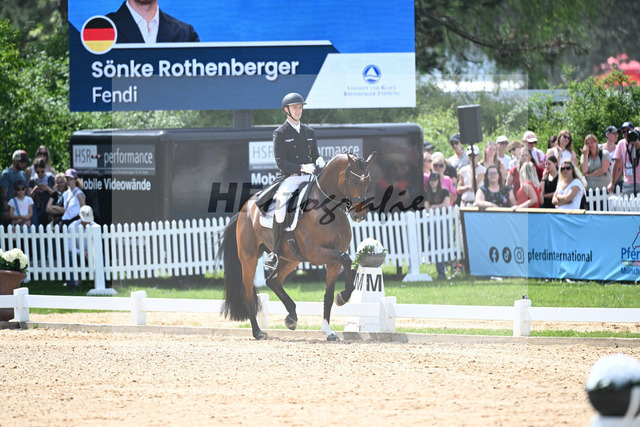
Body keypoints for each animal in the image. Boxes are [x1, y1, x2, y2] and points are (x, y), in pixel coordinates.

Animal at [218, 152, 377, 341]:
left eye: (368, 181)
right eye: (352, 181)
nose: (359, 215)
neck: (329, 208)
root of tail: (246, 207)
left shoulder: (333, 260)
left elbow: (329, 295)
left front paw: (329, 329)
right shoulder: (316, 254)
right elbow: (346, 259)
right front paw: (343, 297)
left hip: (290, 259)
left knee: (273, 281)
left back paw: (291, 318)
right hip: (249, 258)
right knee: (249, 293)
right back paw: (258, 332)